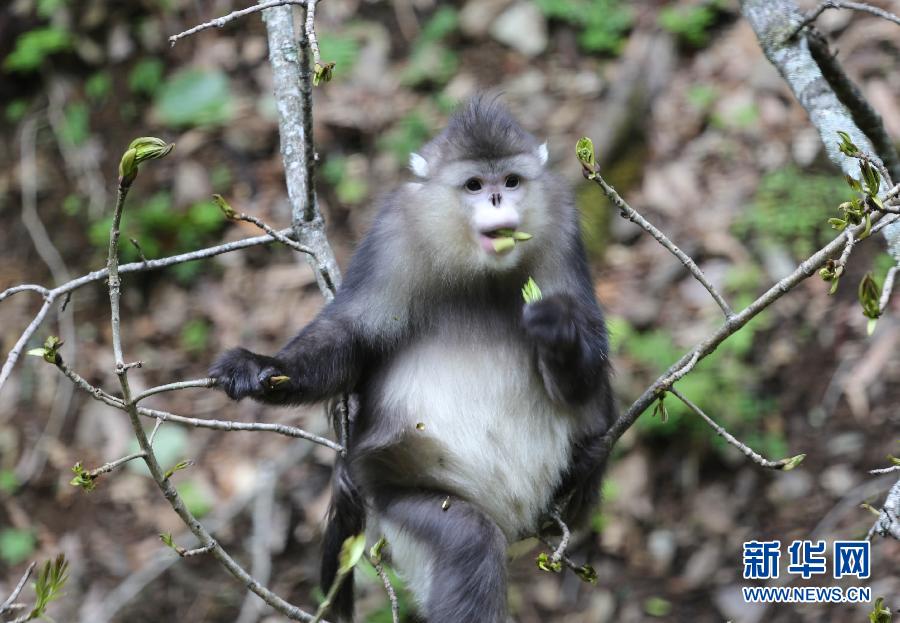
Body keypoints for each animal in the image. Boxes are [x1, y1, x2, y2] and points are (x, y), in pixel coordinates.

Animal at [211, 96, 612, 623]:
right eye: (473, 185)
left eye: (511, 181)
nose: (497, 200)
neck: (480, 271)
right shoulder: (394, 232)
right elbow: (350, 336)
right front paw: (258, 366)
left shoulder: (562, 226)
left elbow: (590, 361)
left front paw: (559, 333)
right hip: (402, 494)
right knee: (467, 540)